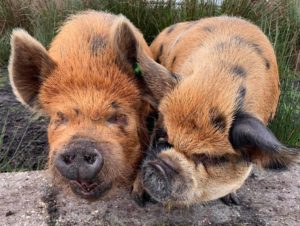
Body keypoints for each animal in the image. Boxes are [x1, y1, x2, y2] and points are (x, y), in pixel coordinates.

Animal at [132, 15, 298, 207]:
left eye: (209, 158)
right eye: (161, 137)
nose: (159, 166)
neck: (218, 83)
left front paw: (233, 201)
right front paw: (139, 198)